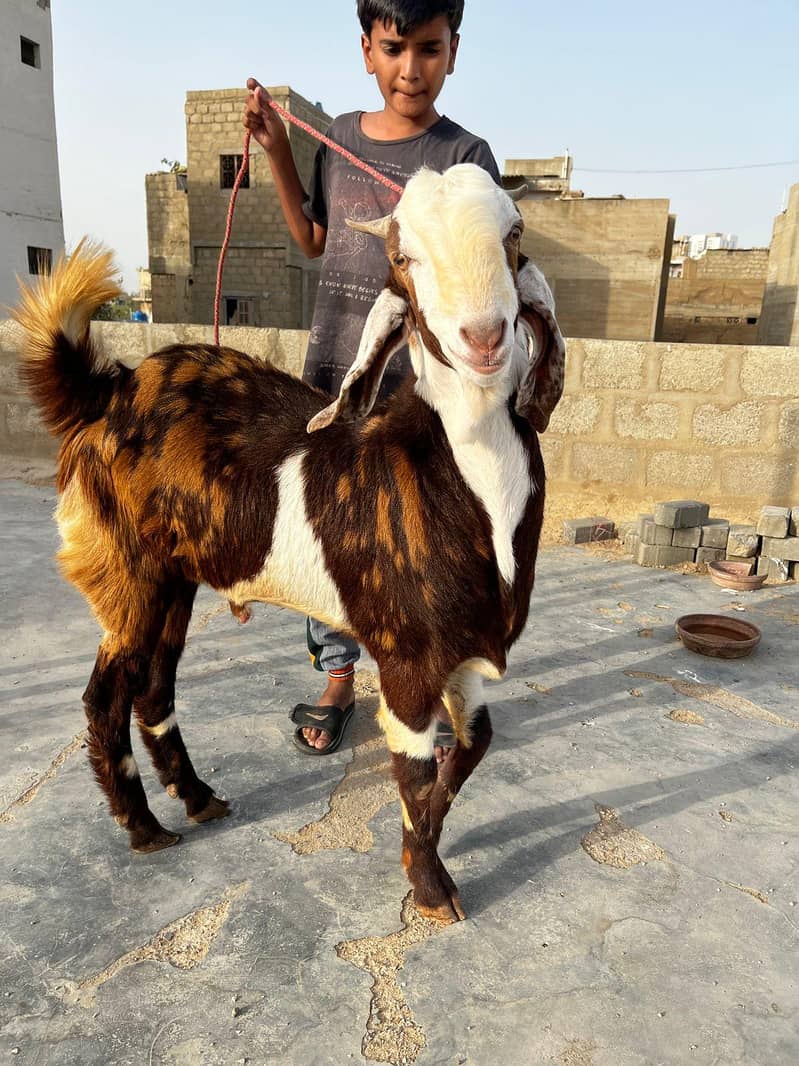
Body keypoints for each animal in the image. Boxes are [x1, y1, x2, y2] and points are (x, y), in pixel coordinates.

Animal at [14, 163, 564, 923]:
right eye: (402, 257)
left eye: (513, 233)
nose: (482, 338)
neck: (464, 473)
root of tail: (109, 393)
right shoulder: (406, 657)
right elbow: (414, 773)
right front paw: (430, 889)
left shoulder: (464, 652)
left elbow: (473, 747)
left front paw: (424, 855)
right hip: (130, 575)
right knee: (105, 697)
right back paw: (145, 827)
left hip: (177, 579)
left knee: (154, 688)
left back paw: (198, 800)